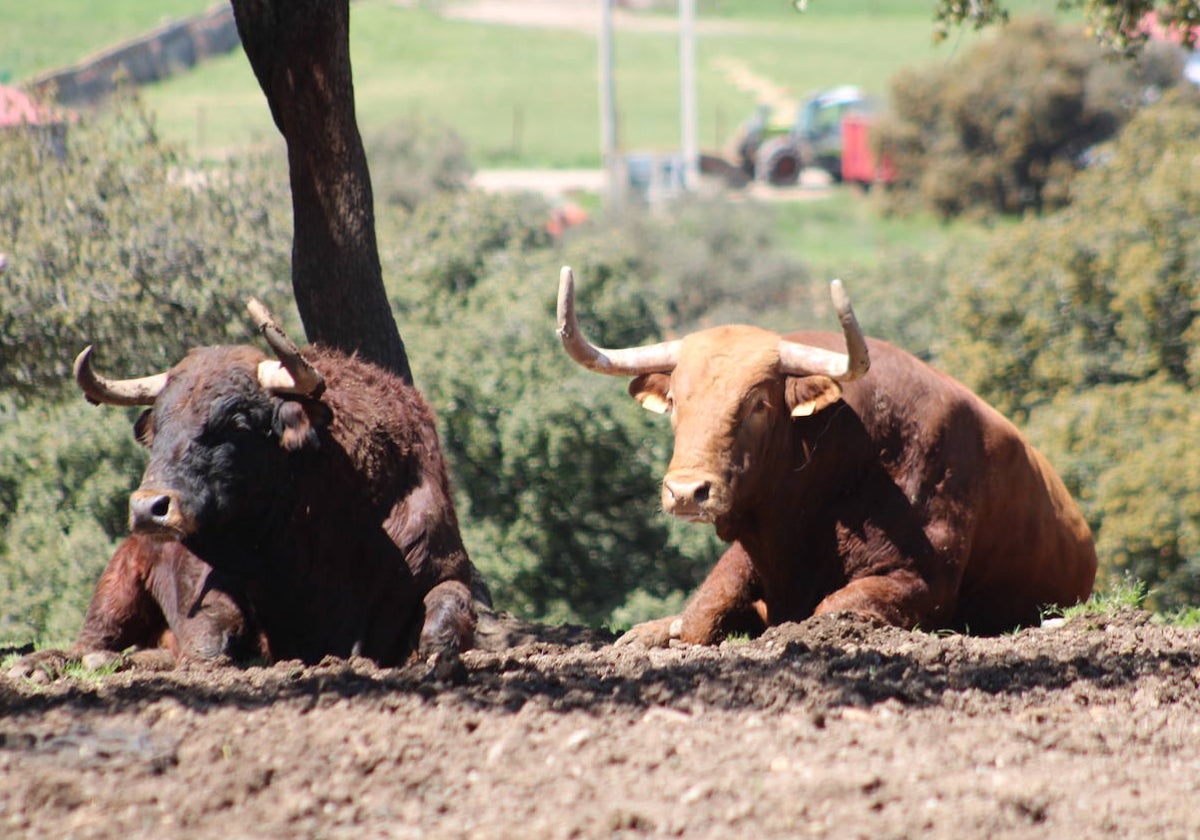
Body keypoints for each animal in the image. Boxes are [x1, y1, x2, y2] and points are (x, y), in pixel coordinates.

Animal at [8, 298, 487, 681]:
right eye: (158, 426)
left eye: (237, 422)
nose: (149, 508)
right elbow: (214, 635)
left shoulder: (441, 568)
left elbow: (445, 616)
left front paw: (437, 660)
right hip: (117, 583)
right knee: (90, 643)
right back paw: (44, 663)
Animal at [556, 268, 1099, 643]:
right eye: (674, 400)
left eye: (758, 403)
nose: (687, 492)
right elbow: (700, 614)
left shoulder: (923, 581)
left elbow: (831, 610)